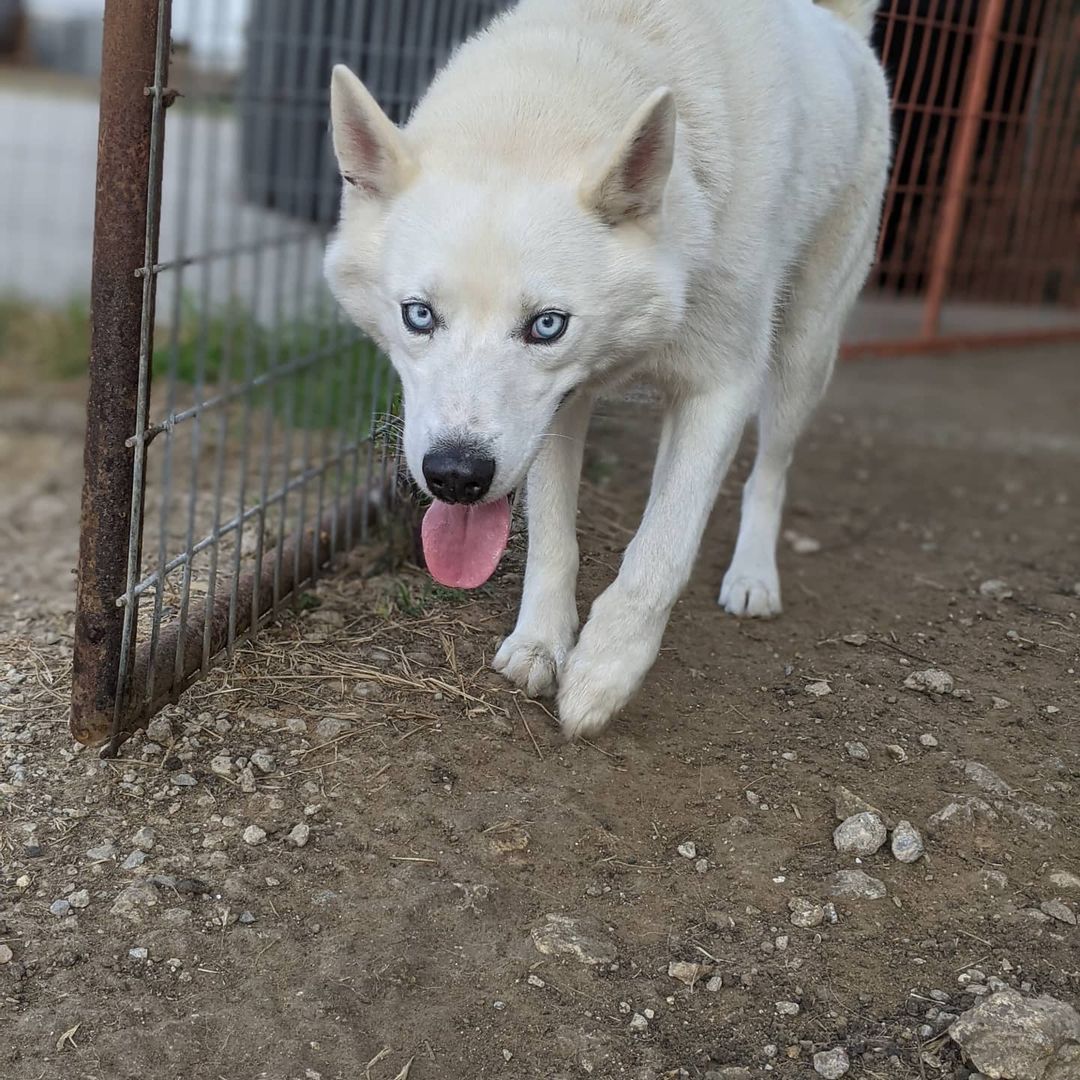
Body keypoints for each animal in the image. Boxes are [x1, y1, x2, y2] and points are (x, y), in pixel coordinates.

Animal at [324, 0, 889, 734]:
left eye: (546, 326)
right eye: (418, 315)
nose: (455, 476)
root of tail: (840, 27)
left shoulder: (720, 387)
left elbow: (661, 551)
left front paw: (606, 672)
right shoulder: (563, 410)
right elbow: (552, 538)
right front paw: (541, 643)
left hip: (802, 354)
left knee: (770, 470)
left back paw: (752, 577)